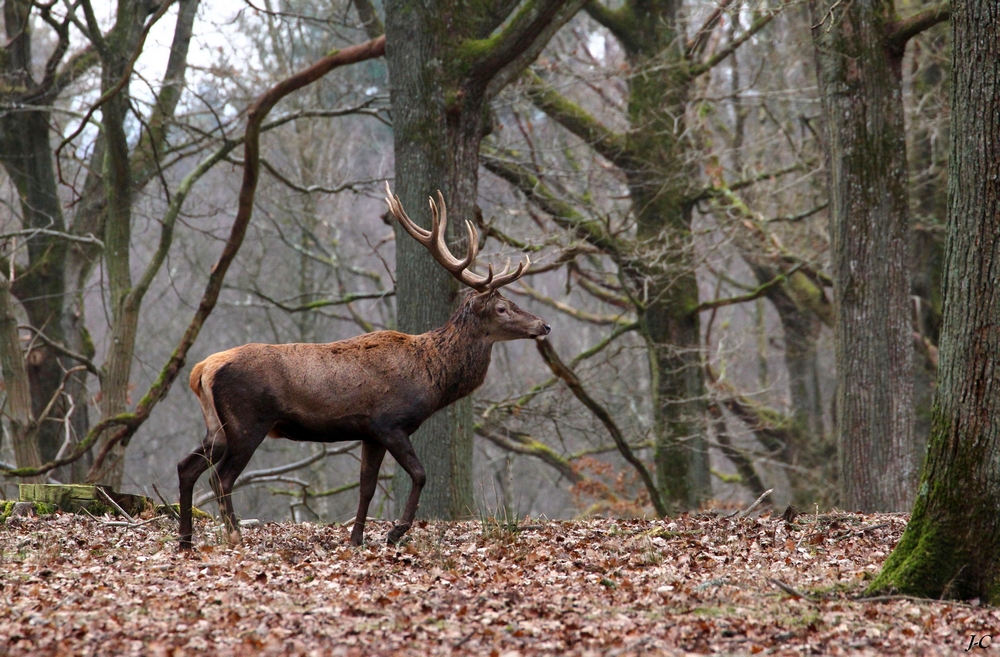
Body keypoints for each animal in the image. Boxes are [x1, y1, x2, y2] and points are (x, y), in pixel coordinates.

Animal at [176, 182, 552, 544]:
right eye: (502, 308)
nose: (544, 325)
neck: (431, 377)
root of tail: (201, 370)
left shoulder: (369, 433)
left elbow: (367, 487)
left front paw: (356, 539)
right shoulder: (389, 422)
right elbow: (420, 474)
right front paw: (395, 532)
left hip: (217, 426)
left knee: (186, 467)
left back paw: (186, 540)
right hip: (247, 421)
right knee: (220, 478)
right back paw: (234, 536)